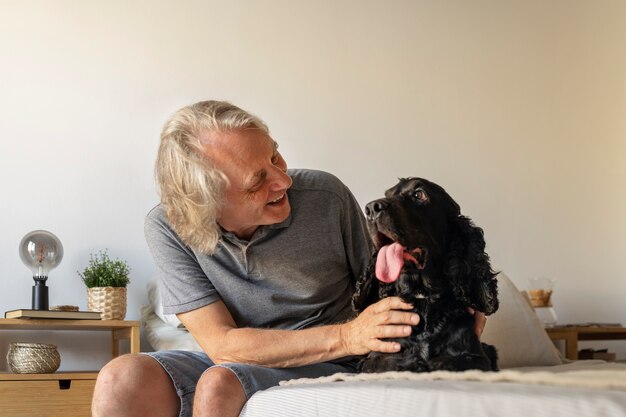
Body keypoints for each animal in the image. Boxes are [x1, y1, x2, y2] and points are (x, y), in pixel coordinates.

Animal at [352, 177, 498, 372]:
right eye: (388, 194)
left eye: (419, 194)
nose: (371, 208)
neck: (422, 297)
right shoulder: (372, 358)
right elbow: (386, 362)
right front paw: (413, 362)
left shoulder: (478, 359)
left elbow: (445, 362)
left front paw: (428, 363)